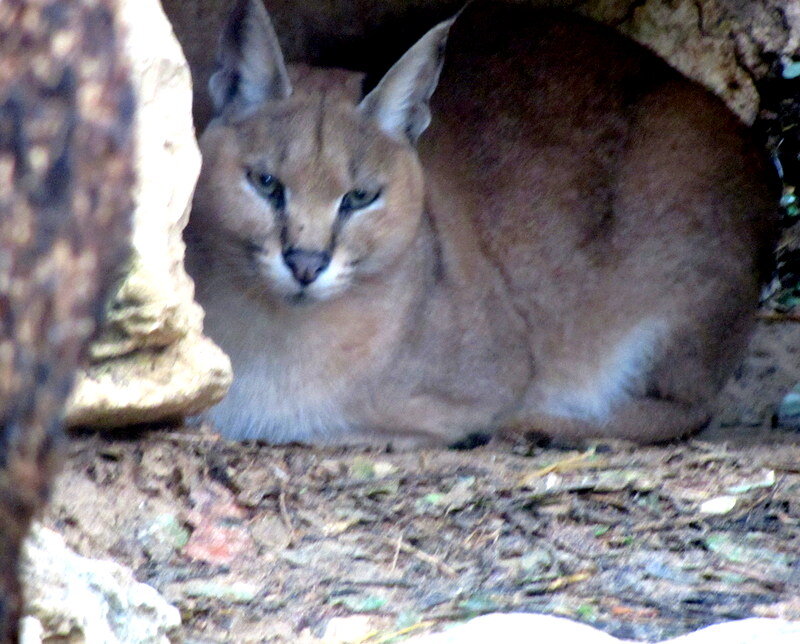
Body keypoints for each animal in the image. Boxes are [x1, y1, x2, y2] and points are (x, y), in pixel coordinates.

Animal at [186, 0, 776, 448]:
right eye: (266, 183)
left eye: (360, 197)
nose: (306, 264)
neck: (279, 328)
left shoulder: (491, 373)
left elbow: (352, 422)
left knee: (688, 407)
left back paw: (542, 423)